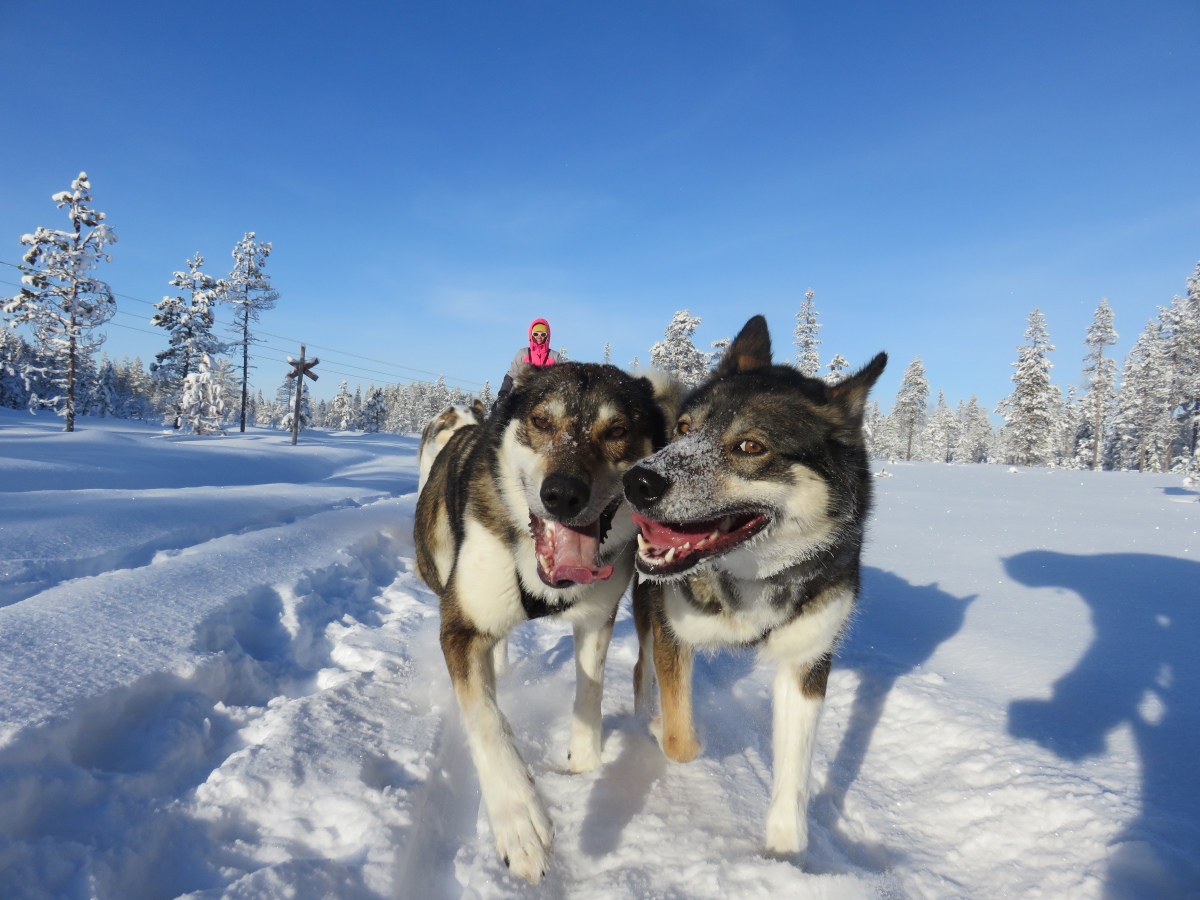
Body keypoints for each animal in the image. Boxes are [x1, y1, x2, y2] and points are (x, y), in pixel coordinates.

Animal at [412, 362, 676, 883]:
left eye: (617, 430)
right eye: (541, 421)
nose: (563, 494)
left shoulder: (597, 619)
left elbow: (590, 691)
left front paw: (585, 764)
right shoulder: (461, 624)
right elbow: (488, 718)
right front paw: (518, 816)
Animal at [624, 316, 888, 868]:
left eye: (750, 446)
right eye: (685, 430)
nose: (637, 481)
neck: (751, 576)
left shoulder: (806, 662)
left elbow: (794, 775)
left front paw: (785, 853)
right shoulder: (671, 632)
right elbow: (681, 739)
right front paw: (660, 728)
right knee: (641, 672)